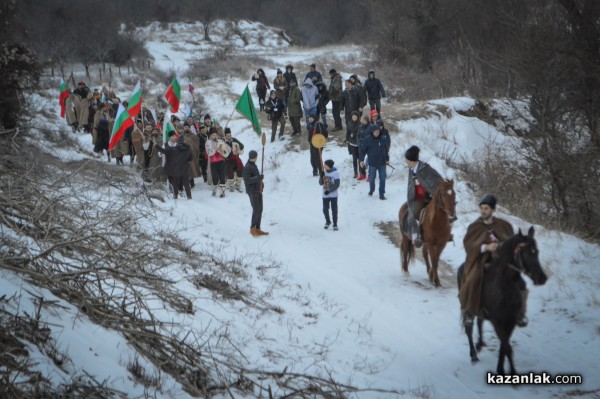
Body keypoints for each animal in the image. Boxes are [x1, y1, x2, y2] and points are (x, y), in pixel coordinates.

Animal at [458, 228, 548, 376]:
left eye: (537, 252)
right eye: (526, 252)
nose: (542, 278)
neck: (504, 288)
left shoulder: (510, 321)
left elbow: (504, 347)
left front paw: (504, 369)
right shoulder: (497, 321)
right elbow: (507, 347)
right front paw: (506, 371)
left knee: (480, 321)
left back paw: (480, 343)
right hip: (468, 305)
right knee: (469, 327)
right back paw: (474, 355)